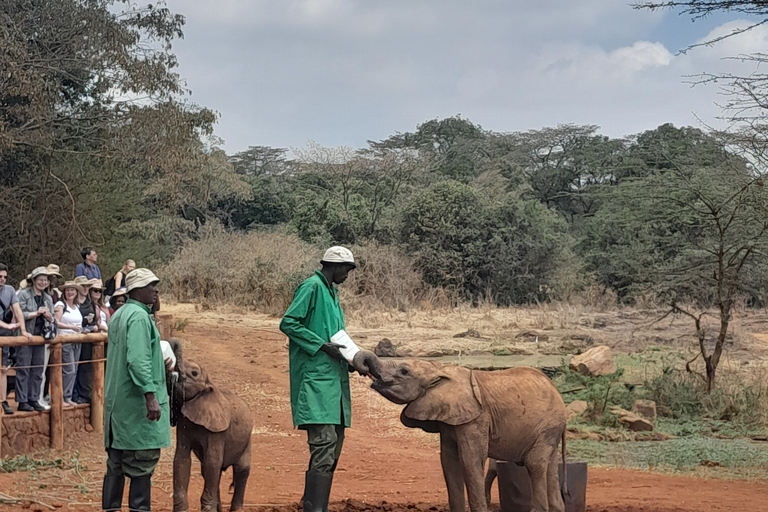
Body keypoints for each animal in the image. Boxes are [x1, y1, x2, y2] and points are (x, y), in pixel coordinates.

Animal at [170, 340, 252, 512]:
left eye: (194, 373)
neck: (209, 385)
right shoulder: (183, 424)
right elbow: (182, 460)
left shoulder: (217, 432)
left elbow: (212, 461)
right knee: (213, 472)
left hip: (247, 441)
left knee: (241, 469)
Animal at [368, 356, 568, 512]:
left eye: (404, 371)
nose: (367, 369)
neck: (439, 369)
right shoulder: (448, 421)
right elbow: (449, 462)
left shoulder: (477, 419)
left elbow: (470, 461)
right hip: (551, 429)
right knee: (550, 466)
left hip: (549, 424)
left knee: (534, 464)